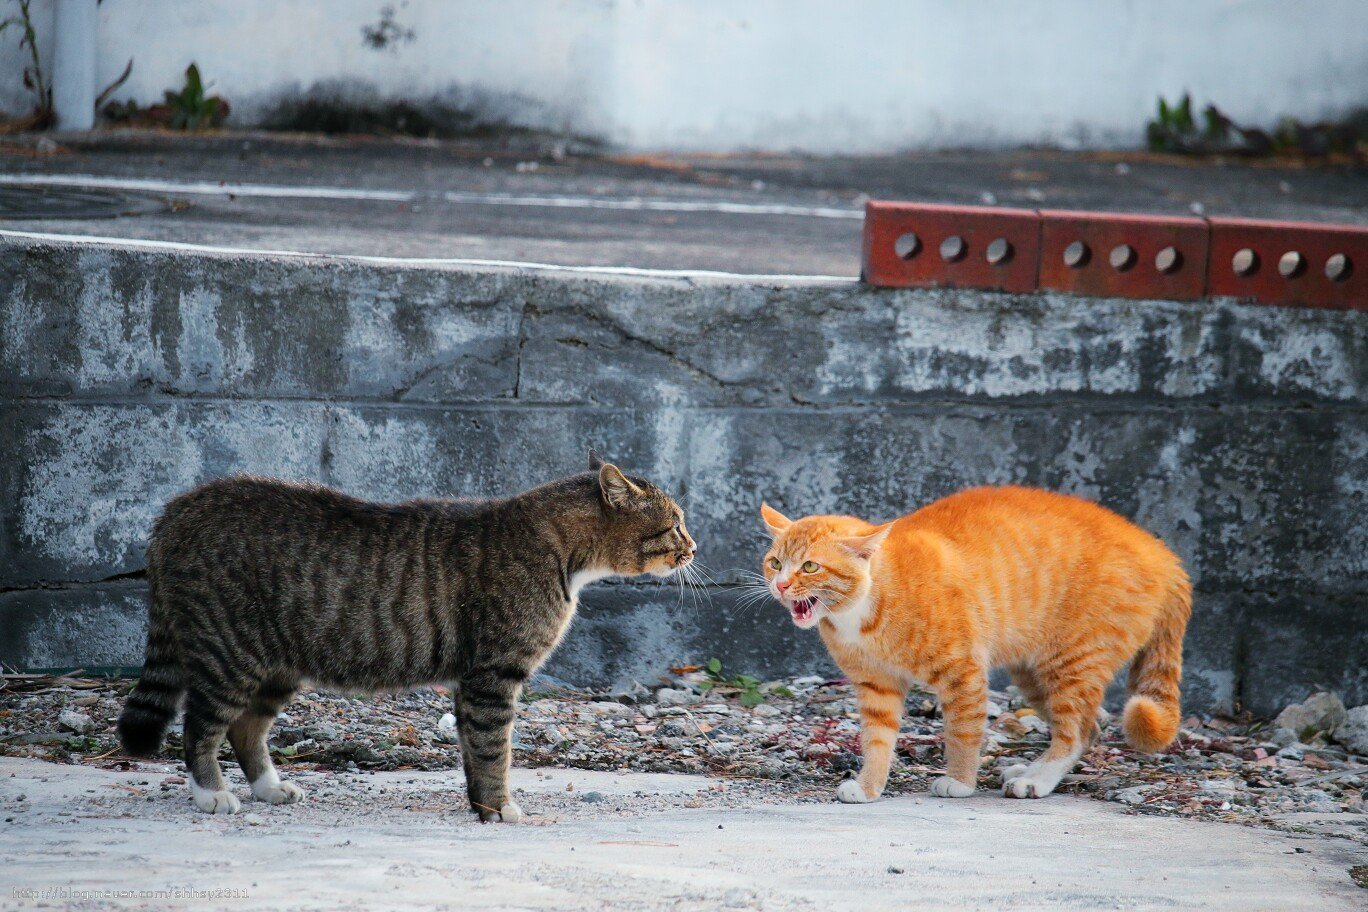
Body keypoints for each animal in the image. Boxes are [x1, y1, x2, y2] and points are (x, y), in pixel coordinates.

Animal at [117, 459, 694, 825]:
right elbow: (494, 750)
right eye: (674, 524)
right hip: (230, 652)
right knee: (199, 728)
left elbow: (473, 749)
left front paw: (481, 807)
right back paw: (211, 794)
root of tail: (179, 507)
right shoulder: (494, 675)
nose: (693, 546)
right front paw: (500, 807)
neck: (561, 553)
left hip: (276, 666)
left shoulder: (471, 681)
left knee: (245, 729)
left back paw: (268, 786)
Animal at [760, 489, 1187, 803]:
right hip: (1033, 675)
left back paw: (1037, 780)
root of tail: (1161, 552)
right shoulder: (876, 686)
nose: (780, 585)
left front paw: (961, 782)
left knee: (1077, 730)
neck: (865, 607)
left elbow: (963, 732)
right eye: (775, 562)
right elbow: (877, 741)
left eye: (810, 566)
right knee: (1092, 726)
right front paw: (869, 787)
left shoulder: (962, 673)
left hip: (1072, 663)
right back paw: (1031, 769)